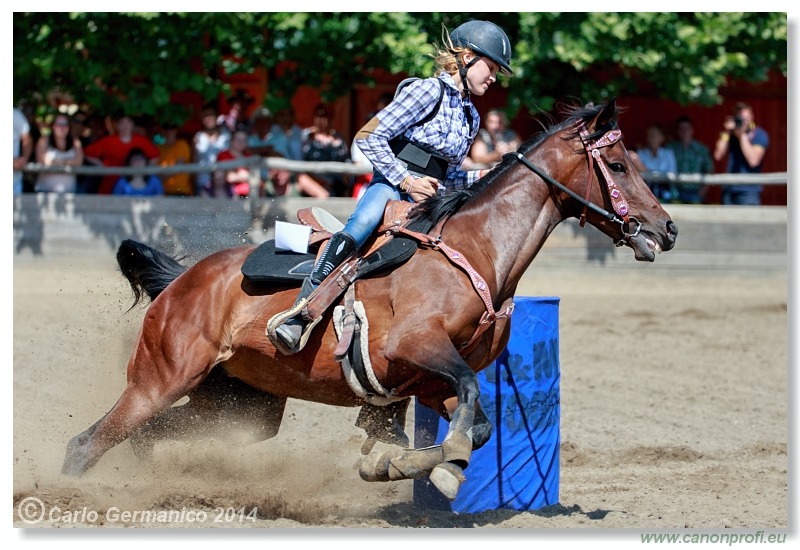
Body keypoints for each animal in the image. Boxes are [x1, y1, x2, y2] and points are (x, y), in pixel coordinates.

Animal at [61, 98, 676, 500]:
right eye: (617, 165)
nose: (666, 229)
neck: (476, 251)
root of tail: (183, 281)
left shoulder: (427, 381)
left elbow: (475, 423)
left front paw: (396, 465)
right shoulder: (417, 347)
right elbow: (471, 397)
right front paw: (437, 467)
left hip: (239, 404)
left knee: (143, 436)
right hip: (160, 380)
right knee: (86, 444)